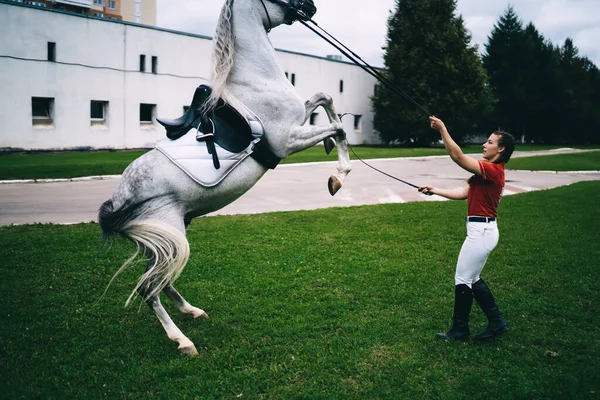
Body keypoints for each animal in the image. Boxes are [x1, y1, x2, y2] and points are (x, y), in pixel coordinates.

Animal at [98, 0, 352, 356]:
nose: (311, 7)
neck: (255, 79)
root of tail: (118, 201)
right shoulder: (287, 140)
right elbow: (338, 128)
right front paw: (339, 175)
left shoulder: (299, 118)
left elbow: (324, 98)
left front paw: (333, 157)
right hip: (170, 235)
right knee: (150, 288)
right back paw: (183, 341)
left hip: (164, 242)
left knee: (163, 280)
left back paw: (192, 311)